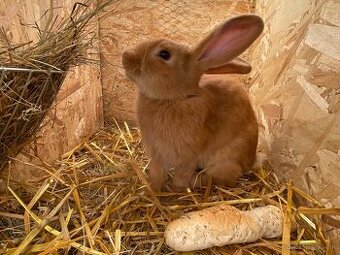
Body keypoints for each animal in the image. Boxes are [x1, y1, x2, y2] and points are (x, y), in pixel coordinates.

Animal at [123, 14, 266, 191]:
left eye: (164, 54)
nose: (125, 57)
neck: (177, 97)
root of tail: (251, 161)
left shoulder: (187, 156)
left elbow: (180, 175)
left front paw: (177, 190)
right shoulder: (156, 154)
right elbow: (156, 173)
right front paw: (152, 189)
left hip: (224, 159)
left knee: (226, 178)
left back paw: (195, 182)